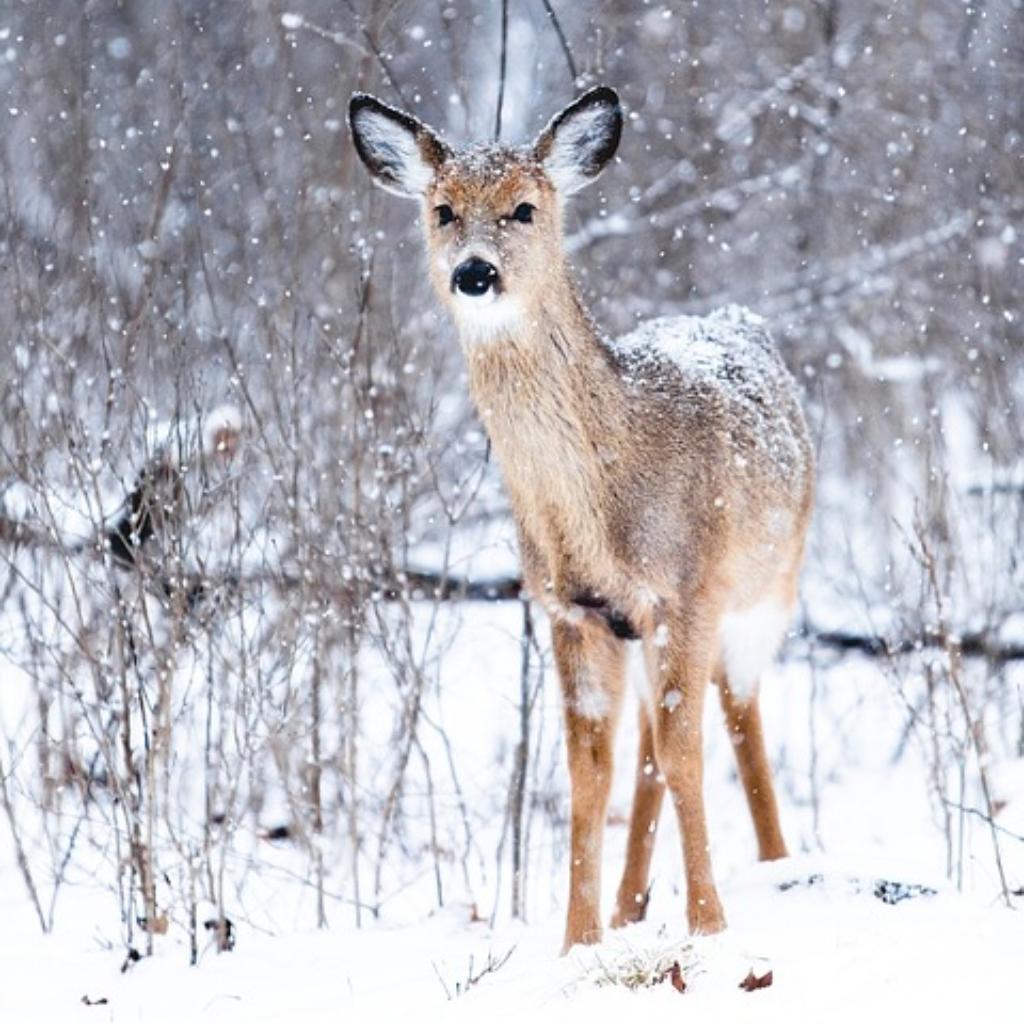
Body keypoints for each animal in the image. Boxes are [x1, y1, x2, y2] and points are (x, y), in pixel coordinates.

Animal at [350, 86, 815, 950]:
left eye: (525, 208)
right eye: (442, 210)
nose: (474, 272)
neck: (602, 504)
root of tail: (737, 317)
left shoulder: (687, 590)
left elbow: (688, 753)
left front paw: (710, 926)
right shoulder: (573, 609)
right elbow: (590, 774)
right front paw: (579, 940)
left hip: (768, 589)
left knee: (738, 716)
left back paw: (777, 865)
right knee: (648, 748)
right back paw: (633, 905)